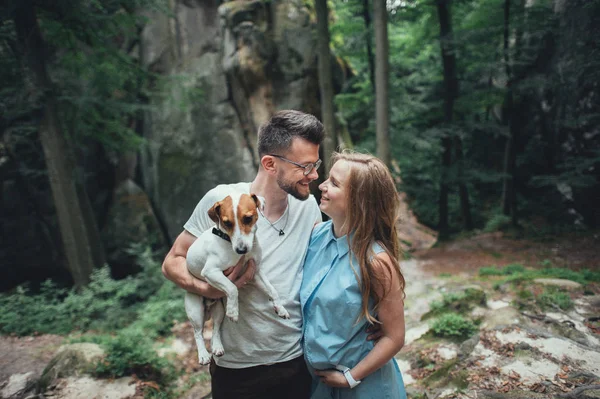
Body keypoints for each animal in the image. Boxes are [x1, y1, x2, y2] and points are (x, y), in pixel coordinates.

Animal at [186, 193, 292, 366]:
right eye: (226, 222)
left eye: (248, 218)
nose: (241, 249)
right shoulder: (211, 271)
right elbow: (232, 287)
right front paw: (234, 311)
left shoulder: (255, 272)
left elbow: (272, 290)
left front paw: (280, 308)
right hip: (195, 311)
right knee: (197, 332)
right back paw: (203, 355)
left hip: (219, 311)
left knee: (215, 329)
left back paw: (217, 347)